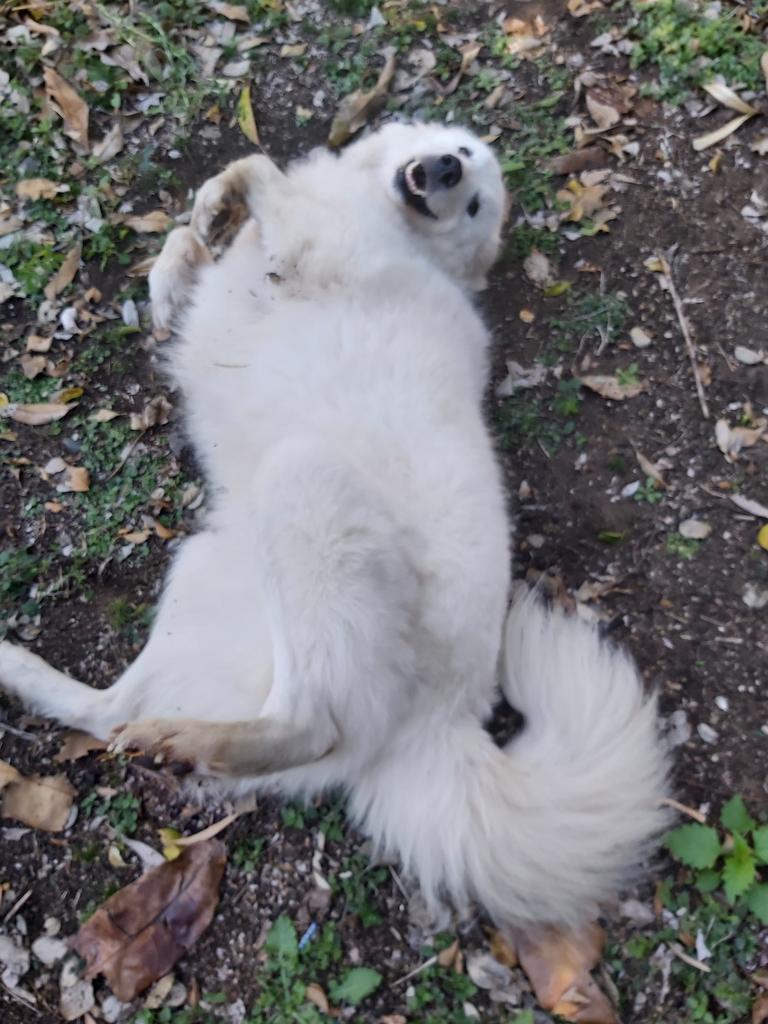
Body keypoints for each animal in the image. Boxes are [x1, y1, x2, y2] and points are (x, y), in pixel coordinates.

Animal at [0, 123, 667, 933]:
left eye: (476, 202)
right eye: (458, 149)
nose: (444, 169)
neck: (394, 225)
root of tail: (446, 719)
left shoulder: (313, 243)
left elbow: (264, 171)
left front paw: (226, 199)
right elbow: (194, 242)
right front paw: (197, 230)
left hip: (302, 484)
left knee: (310, 722)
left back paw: (191, 738)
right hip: (203, 577)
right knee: (113, 712)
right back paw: (44, 682)